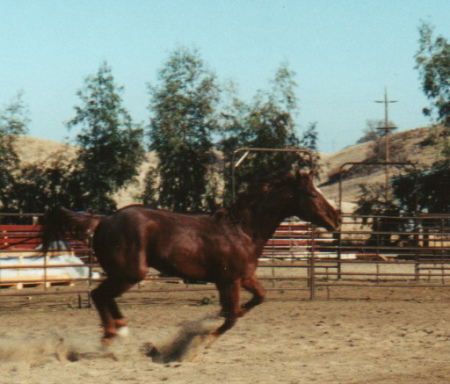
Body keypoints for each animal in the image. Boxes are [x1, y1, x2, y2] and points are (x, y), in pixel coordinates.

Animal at [41, 170, 342, 344]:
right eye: (312, 194)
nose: (336, 219)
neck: (242, 231)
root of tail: (102, 220)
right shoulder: (229, 281)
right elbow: (230, 319)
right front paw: (203, 339)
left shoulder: (244, 278)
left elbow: (257, 299)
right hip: (131, 273)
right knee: (99, 295)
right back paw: (111, 335)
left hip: (125, 273)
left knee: (105, 296)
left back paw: (121, 329)